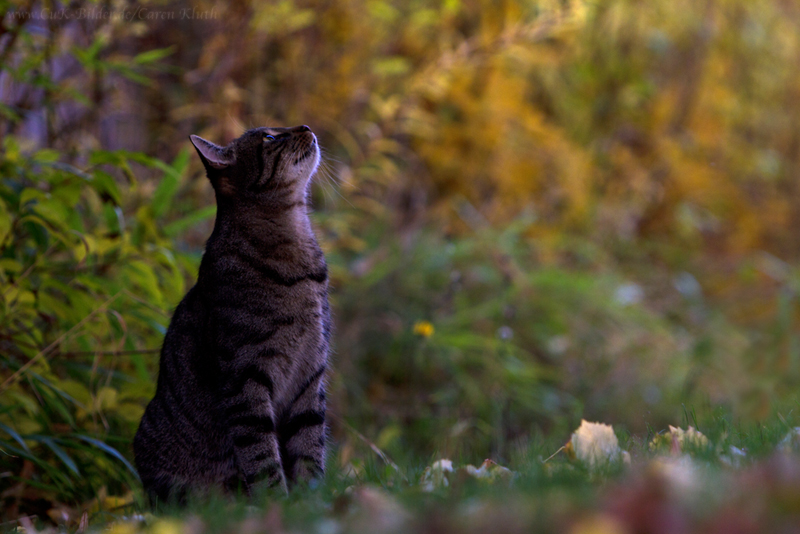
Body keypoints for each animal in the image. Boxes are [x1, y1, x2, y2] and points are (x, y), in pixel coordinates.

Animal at [134, 125, 332, 506]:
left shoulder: (310, 375)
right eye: (270, 137)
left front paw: (313, 503)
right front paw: (279, 505)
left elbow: (309, 448)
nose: (307, 127)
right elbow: (262, 457)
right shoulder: (245, 377)